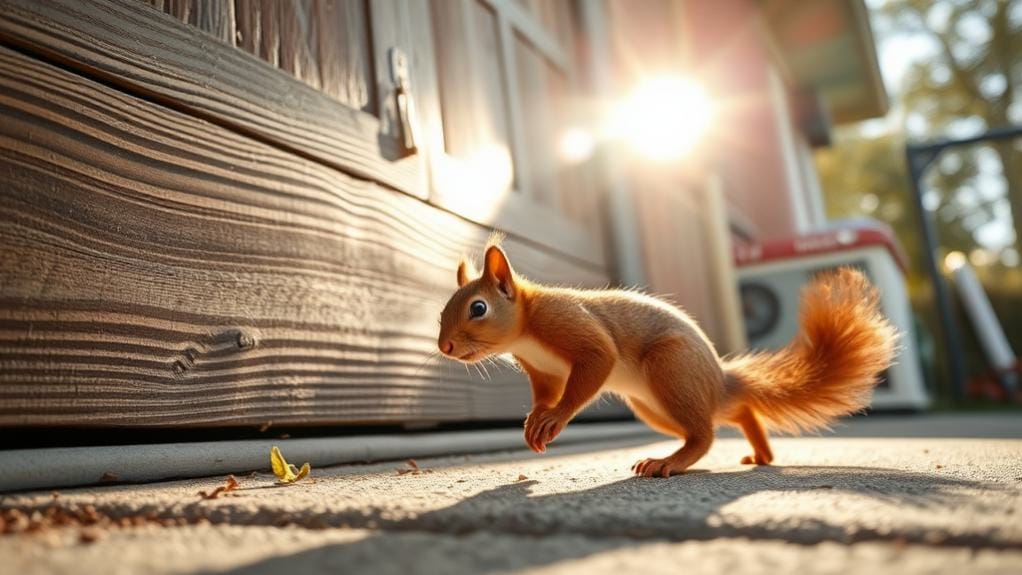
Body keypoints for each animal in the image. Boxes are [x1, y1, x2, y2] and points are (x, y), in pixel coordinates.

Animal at [437, 239, 898, 477]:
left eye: (478, 308)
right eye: (443, 310)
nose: (444, 347)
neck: (527, 329)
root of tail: (718, 379)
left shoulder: (571, 327)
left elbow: (595, 363)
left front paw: (555, 418)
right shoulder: (543, 371)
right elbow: (545, 394)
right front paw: (535, 420)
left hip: (670, 370)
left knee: (704, 435)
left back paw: (667, 462)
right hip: (654, 406)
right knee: (732, 412)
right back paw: (760, 453)